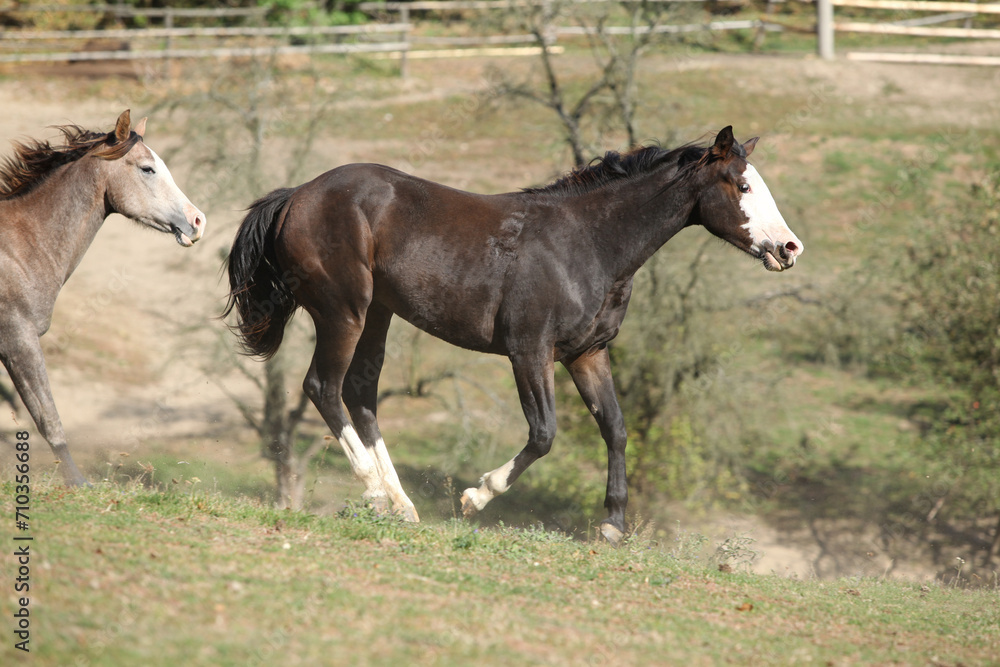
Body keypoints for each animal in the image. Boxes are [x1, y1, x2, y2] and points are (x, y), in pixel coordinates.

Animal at [0, 110, 206, 486]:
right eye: (148, 169)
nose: (198, 221)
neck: (21, 244)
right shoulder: (18, 339)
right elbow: (48, 418)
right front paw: (77, 483)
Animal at [225, 126, 802, 544]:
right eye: (743, 186)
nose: (790, 247)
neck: (587, 243)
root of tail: (298, 194)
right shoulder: (529, 351)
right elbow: (544, 433)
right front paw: (476, 496)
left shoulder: (587, 354)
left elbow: (615, 428)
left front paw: (612, 525)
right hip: (344, 310)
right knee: (323, 387)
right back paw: (373, 491)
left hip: (378, 314)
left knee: (359, 393)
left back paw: (403, 506)